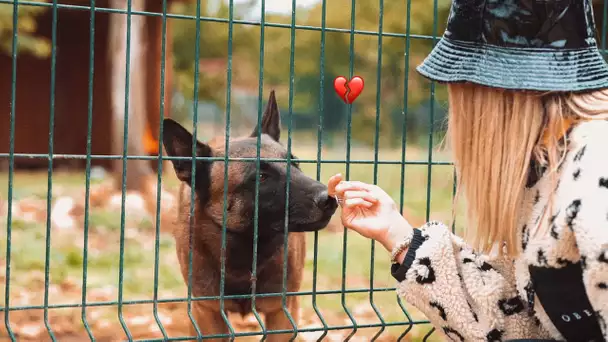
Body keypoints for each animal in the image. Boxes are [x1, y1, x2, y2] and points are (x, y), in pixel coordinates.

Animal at [160, 89, 338, 340]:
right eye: (261, 177)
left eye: (295, 164)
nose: (330, 199)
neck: (245, 252)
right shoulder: (207, 314)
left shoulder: (282, 314)